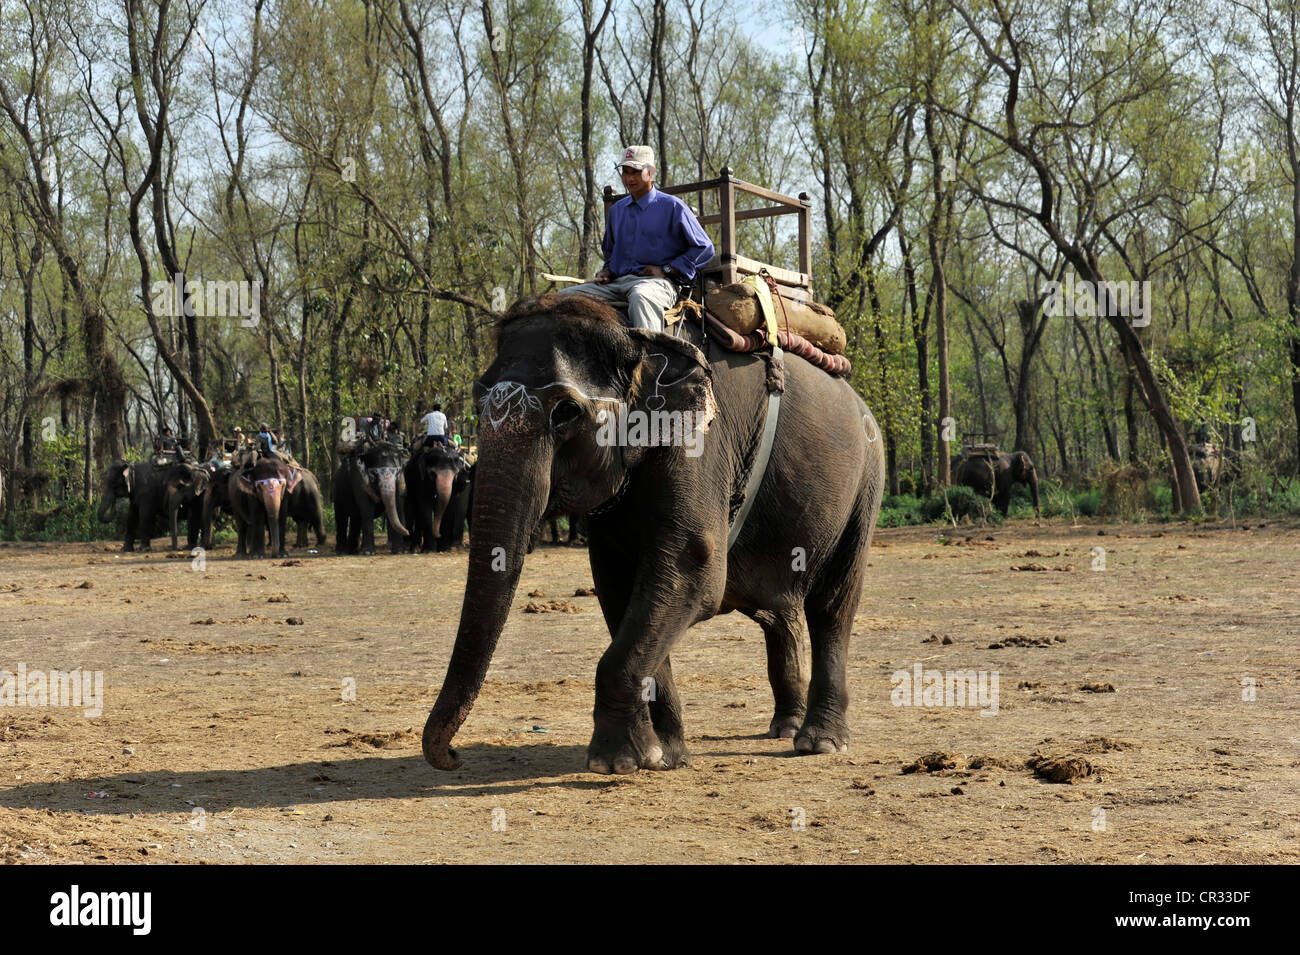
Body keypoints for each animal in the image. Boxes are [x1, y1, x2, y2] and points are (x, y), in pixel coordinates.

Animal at [421, 293, 885, 775]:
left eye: (566, 412)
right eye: (477, 403)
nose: (452, 755)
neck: (633, 334)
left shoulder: (703, 439)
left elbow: (690, 567)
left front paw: (614, 763)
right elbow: (619, 584)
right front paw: (665, 756)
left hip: (866, 484)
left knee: (832, 605)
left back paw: (820, 743)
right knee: (780, 612)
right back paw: (785, 728)